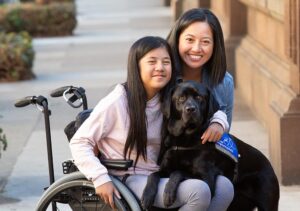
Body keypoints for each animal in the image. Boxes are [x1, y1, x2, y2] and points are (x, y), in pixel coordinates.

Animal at [142, 81, 280, 211]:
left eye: (199, 97)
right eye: (181, 98)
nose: (190, 109)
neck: (185, 140)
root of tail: (270, 165)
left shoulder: (206, 179)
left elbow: (178, 172)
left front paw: (169, 193)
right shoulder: (165, 169)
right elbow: (153, 175)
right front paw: (147, 196)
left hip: (267, 203)